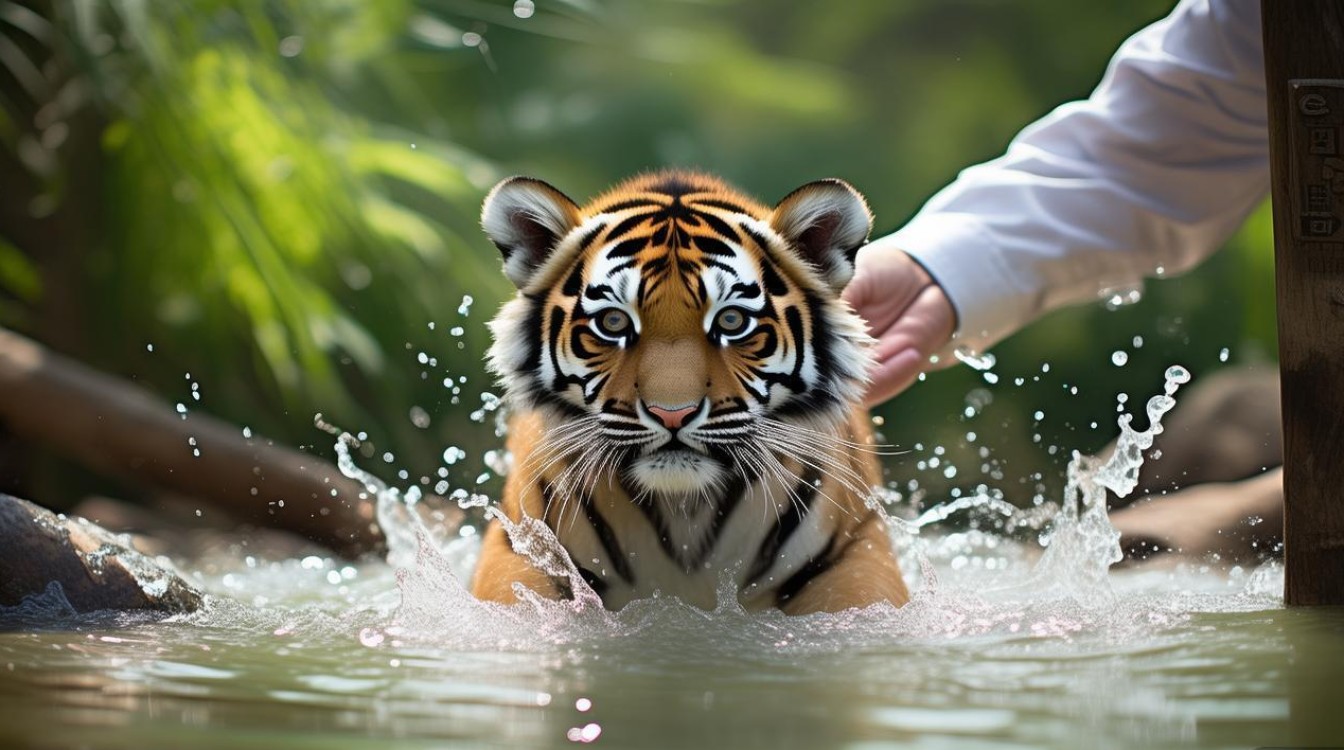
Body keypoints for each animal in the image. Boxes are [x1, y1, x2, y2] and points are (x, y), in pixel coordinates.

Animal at [470, 171, 910, 615]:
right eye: (613, 322)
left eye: (732, 321)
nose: (672, 414)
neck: (683, 513)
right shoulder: (523, 550)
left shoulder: (855, 552)